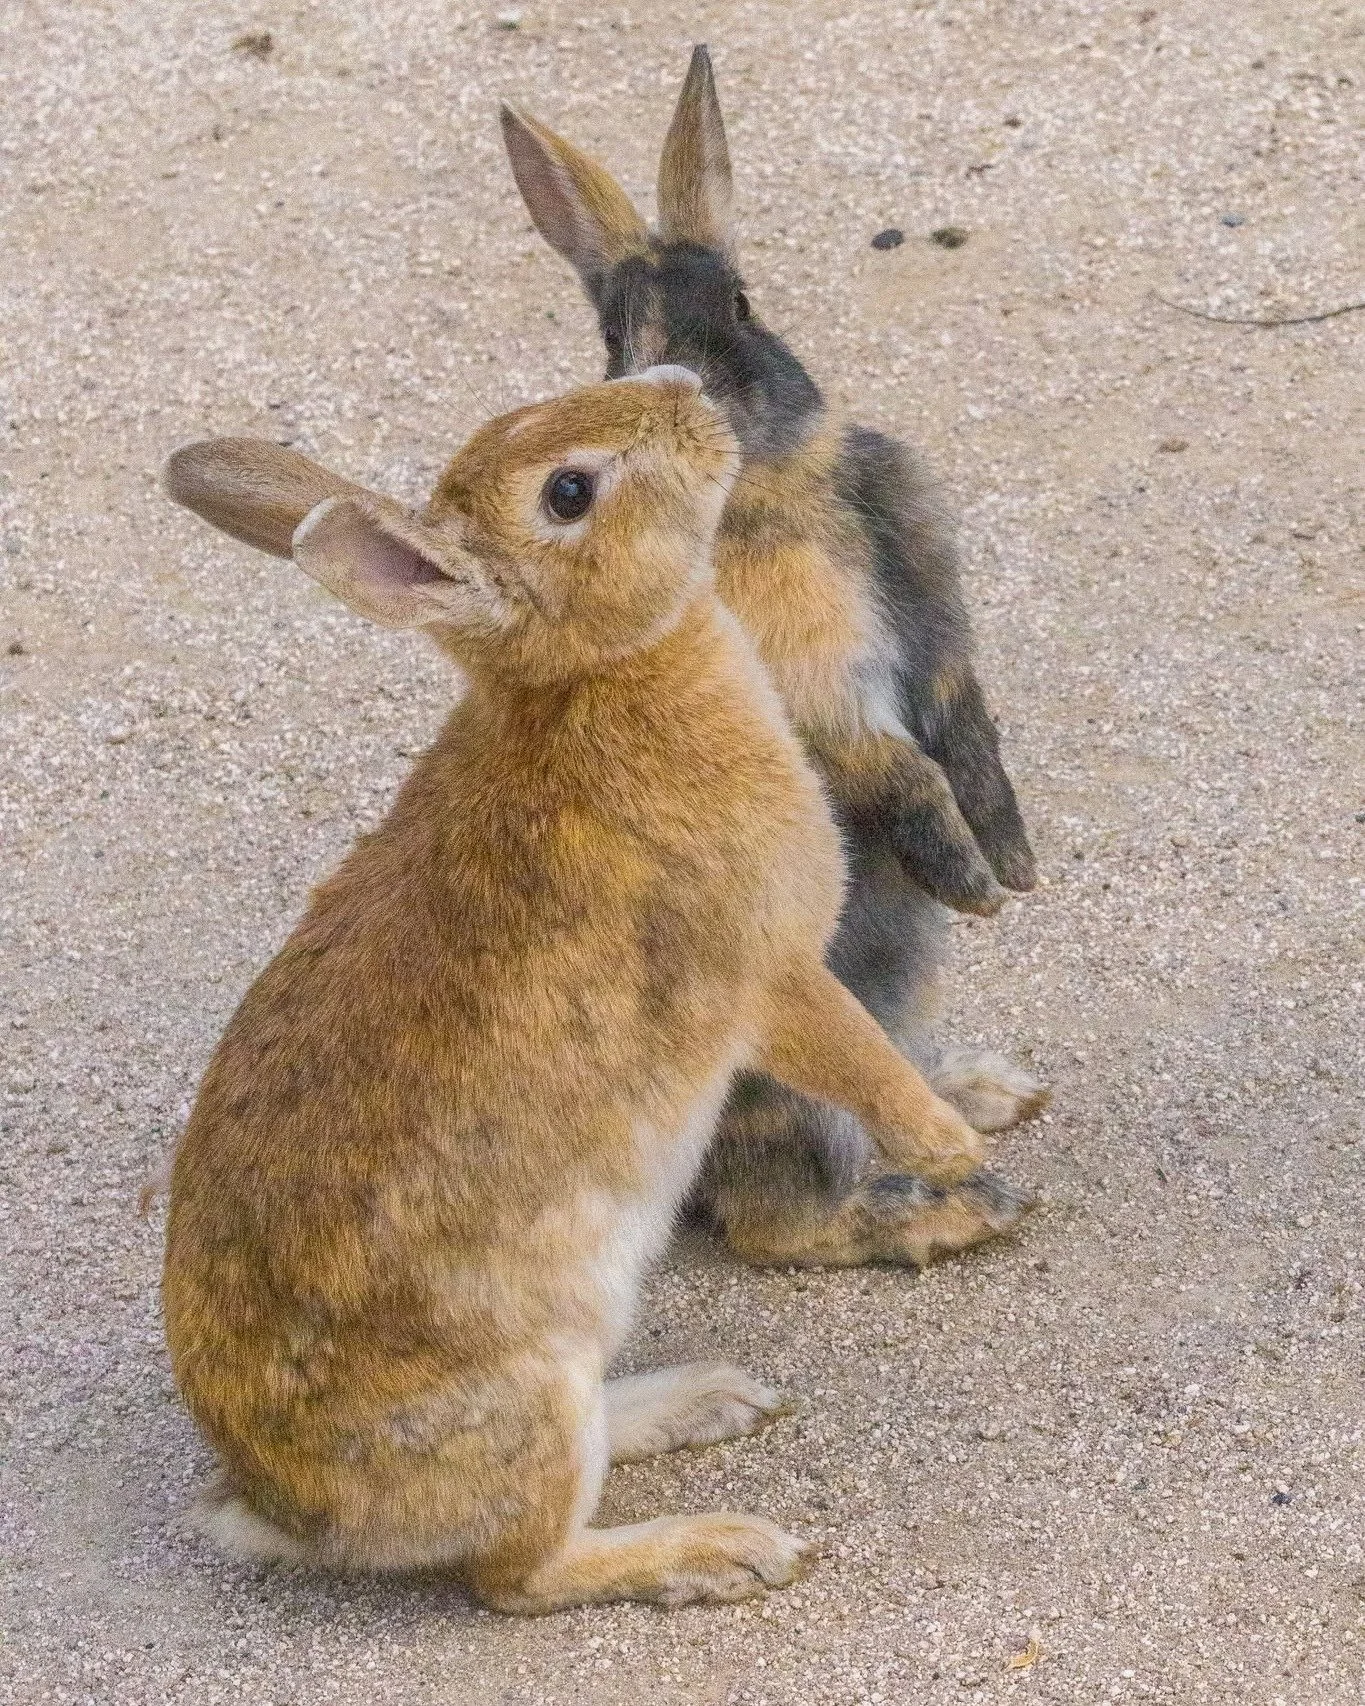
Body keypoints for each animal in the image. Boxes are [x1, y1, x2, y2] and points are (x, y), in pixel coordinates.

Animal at [158, 366, 995, 1613]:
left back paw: (701, 1398)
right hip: (529, 1396)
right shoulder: (764, 969)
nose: (686, 389)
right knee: (519, 1573)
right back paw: (717, 1545)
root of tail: (280, 1507)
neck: (598, 674)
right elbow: (856, 1052)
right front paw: (952, 1148)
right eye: (568, 492)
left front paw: (989, 1096)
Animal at [498, 47, 1047, 1271]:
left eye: (743, 304)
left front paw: (1014, 865)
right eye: (616, 348)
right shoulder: (819, 694)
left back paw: (998, 1092)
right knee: (780, 1220)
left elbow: (969, 730)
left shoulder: (939, 632)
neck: (766, 482)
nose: (687, 399)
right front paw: (972, 882)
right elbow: (896, 767)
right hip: (799, 1061)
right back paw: (964, 1208)